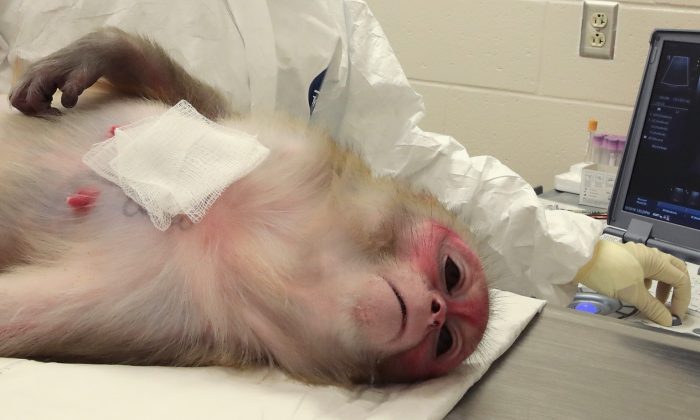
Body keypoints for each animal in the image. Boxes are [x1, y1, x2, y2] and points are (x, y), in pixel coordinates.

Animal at [0, 27, 490, 386]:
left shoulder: (175, 318)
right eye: (452, 273)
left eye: (444, 341)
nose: (435, 310)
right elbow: (191, 103)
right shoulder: (283, 148)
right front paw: (99, 51)